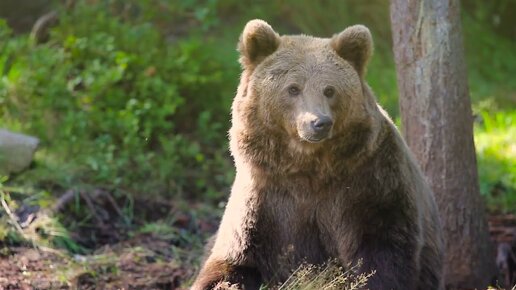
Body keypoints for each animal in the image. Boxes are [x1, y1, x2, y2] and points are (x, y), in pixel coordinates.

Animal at [189, 19, 444, 288]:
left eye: (329, 90)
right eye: (293, 88)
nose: (319, 122)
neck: (308, 165)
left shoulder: (373, 180)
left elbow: (382, 251)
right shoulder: (263, 198)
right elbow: (232, 260)